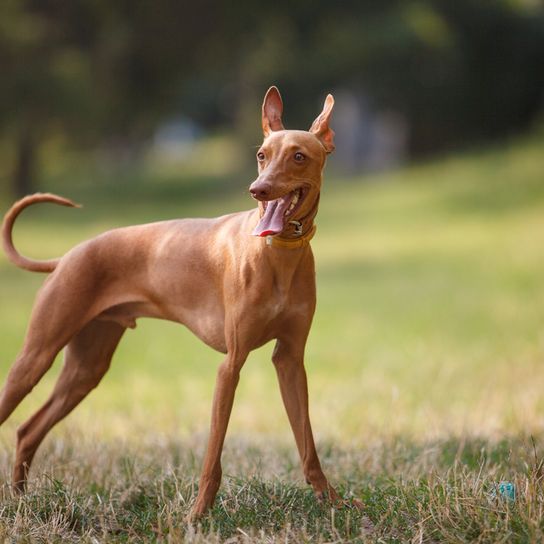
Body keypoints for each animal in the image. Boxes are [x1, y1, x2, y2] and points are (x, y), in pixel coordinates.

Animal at [1, 87, 362, 516]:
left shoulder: (289, 360)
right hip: (36, 356)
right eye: (262, 155)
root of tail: (67, 256)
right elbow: (213, 455)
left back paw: (20, 501)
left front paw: (333, 502)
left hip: (86, 368)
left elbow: (307, 445)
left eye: (299, 156)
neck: (277, 254)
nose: (257, 189)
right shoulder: (230, 366)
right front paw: (198, 514)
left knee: (27, 430)